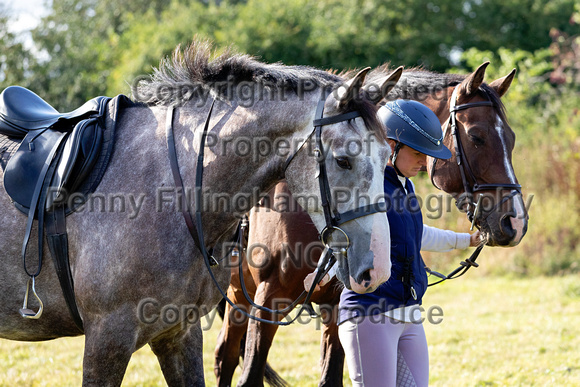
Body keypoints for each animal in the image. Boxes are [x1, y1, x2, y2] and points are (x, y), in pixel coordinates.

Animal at [0, 41, 394, 386]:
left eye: (386, 156)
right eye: (343, 160)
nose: (377, 269)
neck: (168, 193)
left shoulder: (179, 334)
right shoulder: (107, 338)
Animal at [214, 62, 532, 386]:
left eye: (511, 138)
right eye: (477, 137)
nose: (515, 222)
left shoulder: (338, 305)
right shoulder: (270, 299)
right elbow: (250, 375)